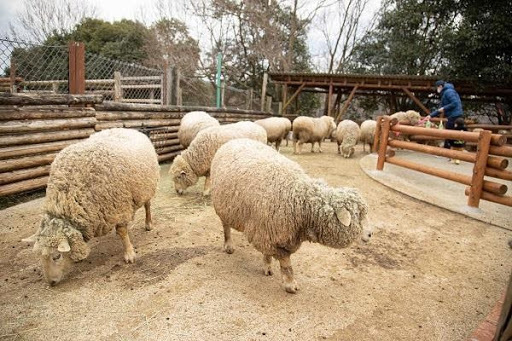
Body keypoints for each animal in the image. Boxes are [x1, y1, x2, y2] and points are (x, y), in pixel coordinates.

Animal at [21, 127, 160, 284]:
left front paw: (129, 254)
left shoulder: (119, 206)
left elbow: (123, 232)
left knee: (147, 206)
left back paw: (148, 224)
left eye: (56, 256)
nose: (51, 283)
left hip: (146, 187)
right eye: (39, 255)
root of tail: (128, 129)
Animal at [210, 138, 370, 292]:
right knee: (226, 228)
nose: (370, 234)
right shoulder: (269, 233)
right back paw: (228, 246)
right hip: (223, 206)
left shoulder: (270, 232)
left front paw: (267, 266)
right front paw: (290, 284)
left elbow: (268, 254)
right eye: (359, 215)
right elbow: (286, 263)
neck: (300, 199)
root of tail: (234, 140)